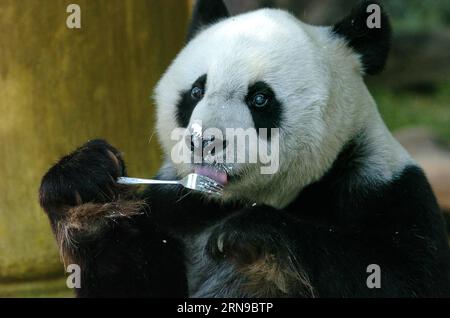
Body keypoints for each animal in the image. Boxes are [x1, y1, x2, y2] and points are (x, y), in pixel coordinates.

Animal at [39, 0, 450, 298]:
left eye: (260, 98)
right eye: (196, 91)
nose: (203, 141)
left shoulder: (385, 189)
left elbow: (403, 278)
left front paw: (252, 234)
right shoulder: (176, 210)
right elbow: (130, 284)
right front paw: (82, 181)